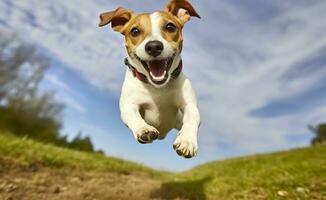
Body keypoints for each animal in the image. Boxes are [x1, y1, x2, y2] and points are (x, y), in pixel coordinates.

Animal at [98, 0, 201, 159]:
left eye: (170, 27)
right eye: (135, 31)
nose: (153, 47)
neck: (157, 88)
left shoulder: (189, 105)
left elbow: (192, 117)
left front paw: (187, 140)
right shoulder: (128, 106)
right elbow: (132, 115)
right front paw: (144, 129)